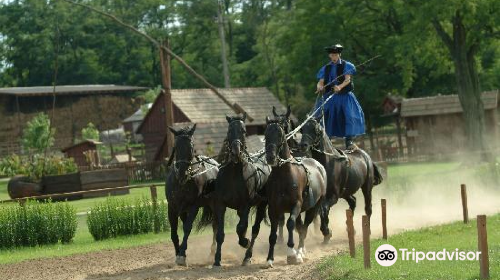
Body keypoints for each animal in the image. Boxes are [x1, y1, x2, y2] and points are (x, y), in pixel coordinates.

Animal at [166, 125, 219, 266]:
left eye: (191, 146)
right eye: (176, 146)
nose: (182, 173)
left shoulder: (193, 207)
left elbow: (187, 229)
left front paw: (181, 255)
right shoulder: (172, 208)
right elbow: (174, 233)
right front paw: (178, 253)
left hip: (214, 206)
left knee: (216, 226)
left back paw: (212, 253)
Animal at [211, 114, 274, 266]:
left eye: (244, 131)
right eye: (229, 131)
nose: (235, 151)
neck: (234, 171)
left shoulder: (246, 205)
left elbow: (241, 228)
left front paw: (245, 242)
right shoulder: (221, 204)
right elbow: (220, 234)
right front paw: (217, 260)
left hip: (261, 205)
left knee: (254, 229)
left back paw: (247, 255)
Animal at [262, 118, 328, 266]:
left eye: (280, 135)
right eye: (266, 135)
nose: (270, 157)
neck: (283, 175)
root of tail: (319, 166)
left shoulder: (295, 205)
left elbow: (290, 224)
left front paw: (292, 254)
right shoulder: (273, 209)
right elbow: (273, 234)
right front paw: (269, 259)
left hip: (313, 208)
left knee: (304, 228)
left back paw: (299, 252)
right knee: (300, 227)